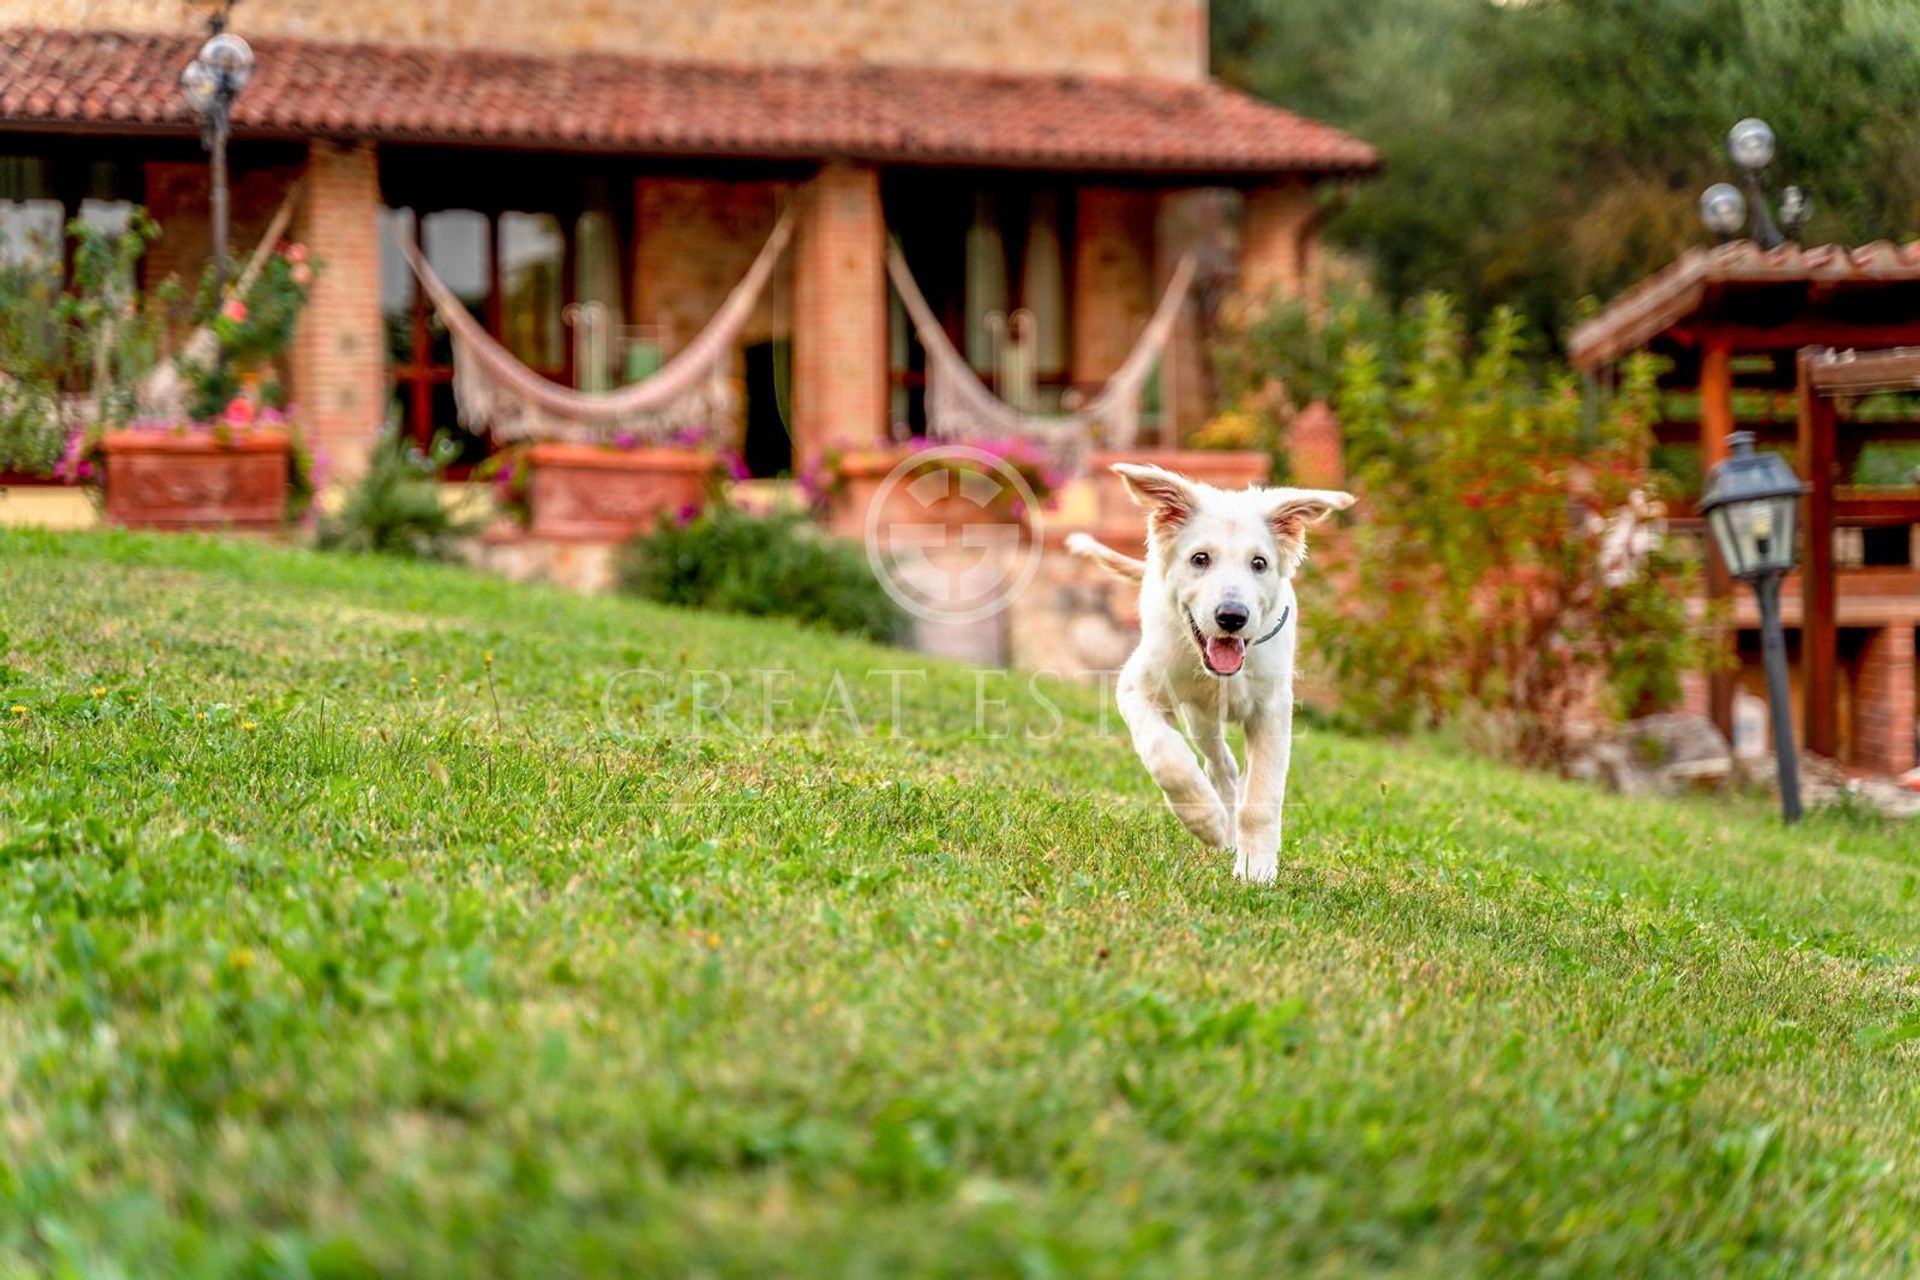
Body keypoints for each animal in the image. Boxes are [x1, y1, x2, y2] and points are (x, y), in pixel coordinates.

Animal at [1067, 466, 1351, 886]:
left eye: (1259, 563)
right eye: (1200, 559)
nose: (1232, 617)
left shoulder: (1273, 710)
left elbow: (1262, 796)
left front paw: (1256, 871)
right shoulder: (1136, 688)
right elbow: (1166, 755)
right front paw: (1207, 822)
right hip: (1200, 717)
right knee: (1220, 766)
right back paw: (1222, 826)